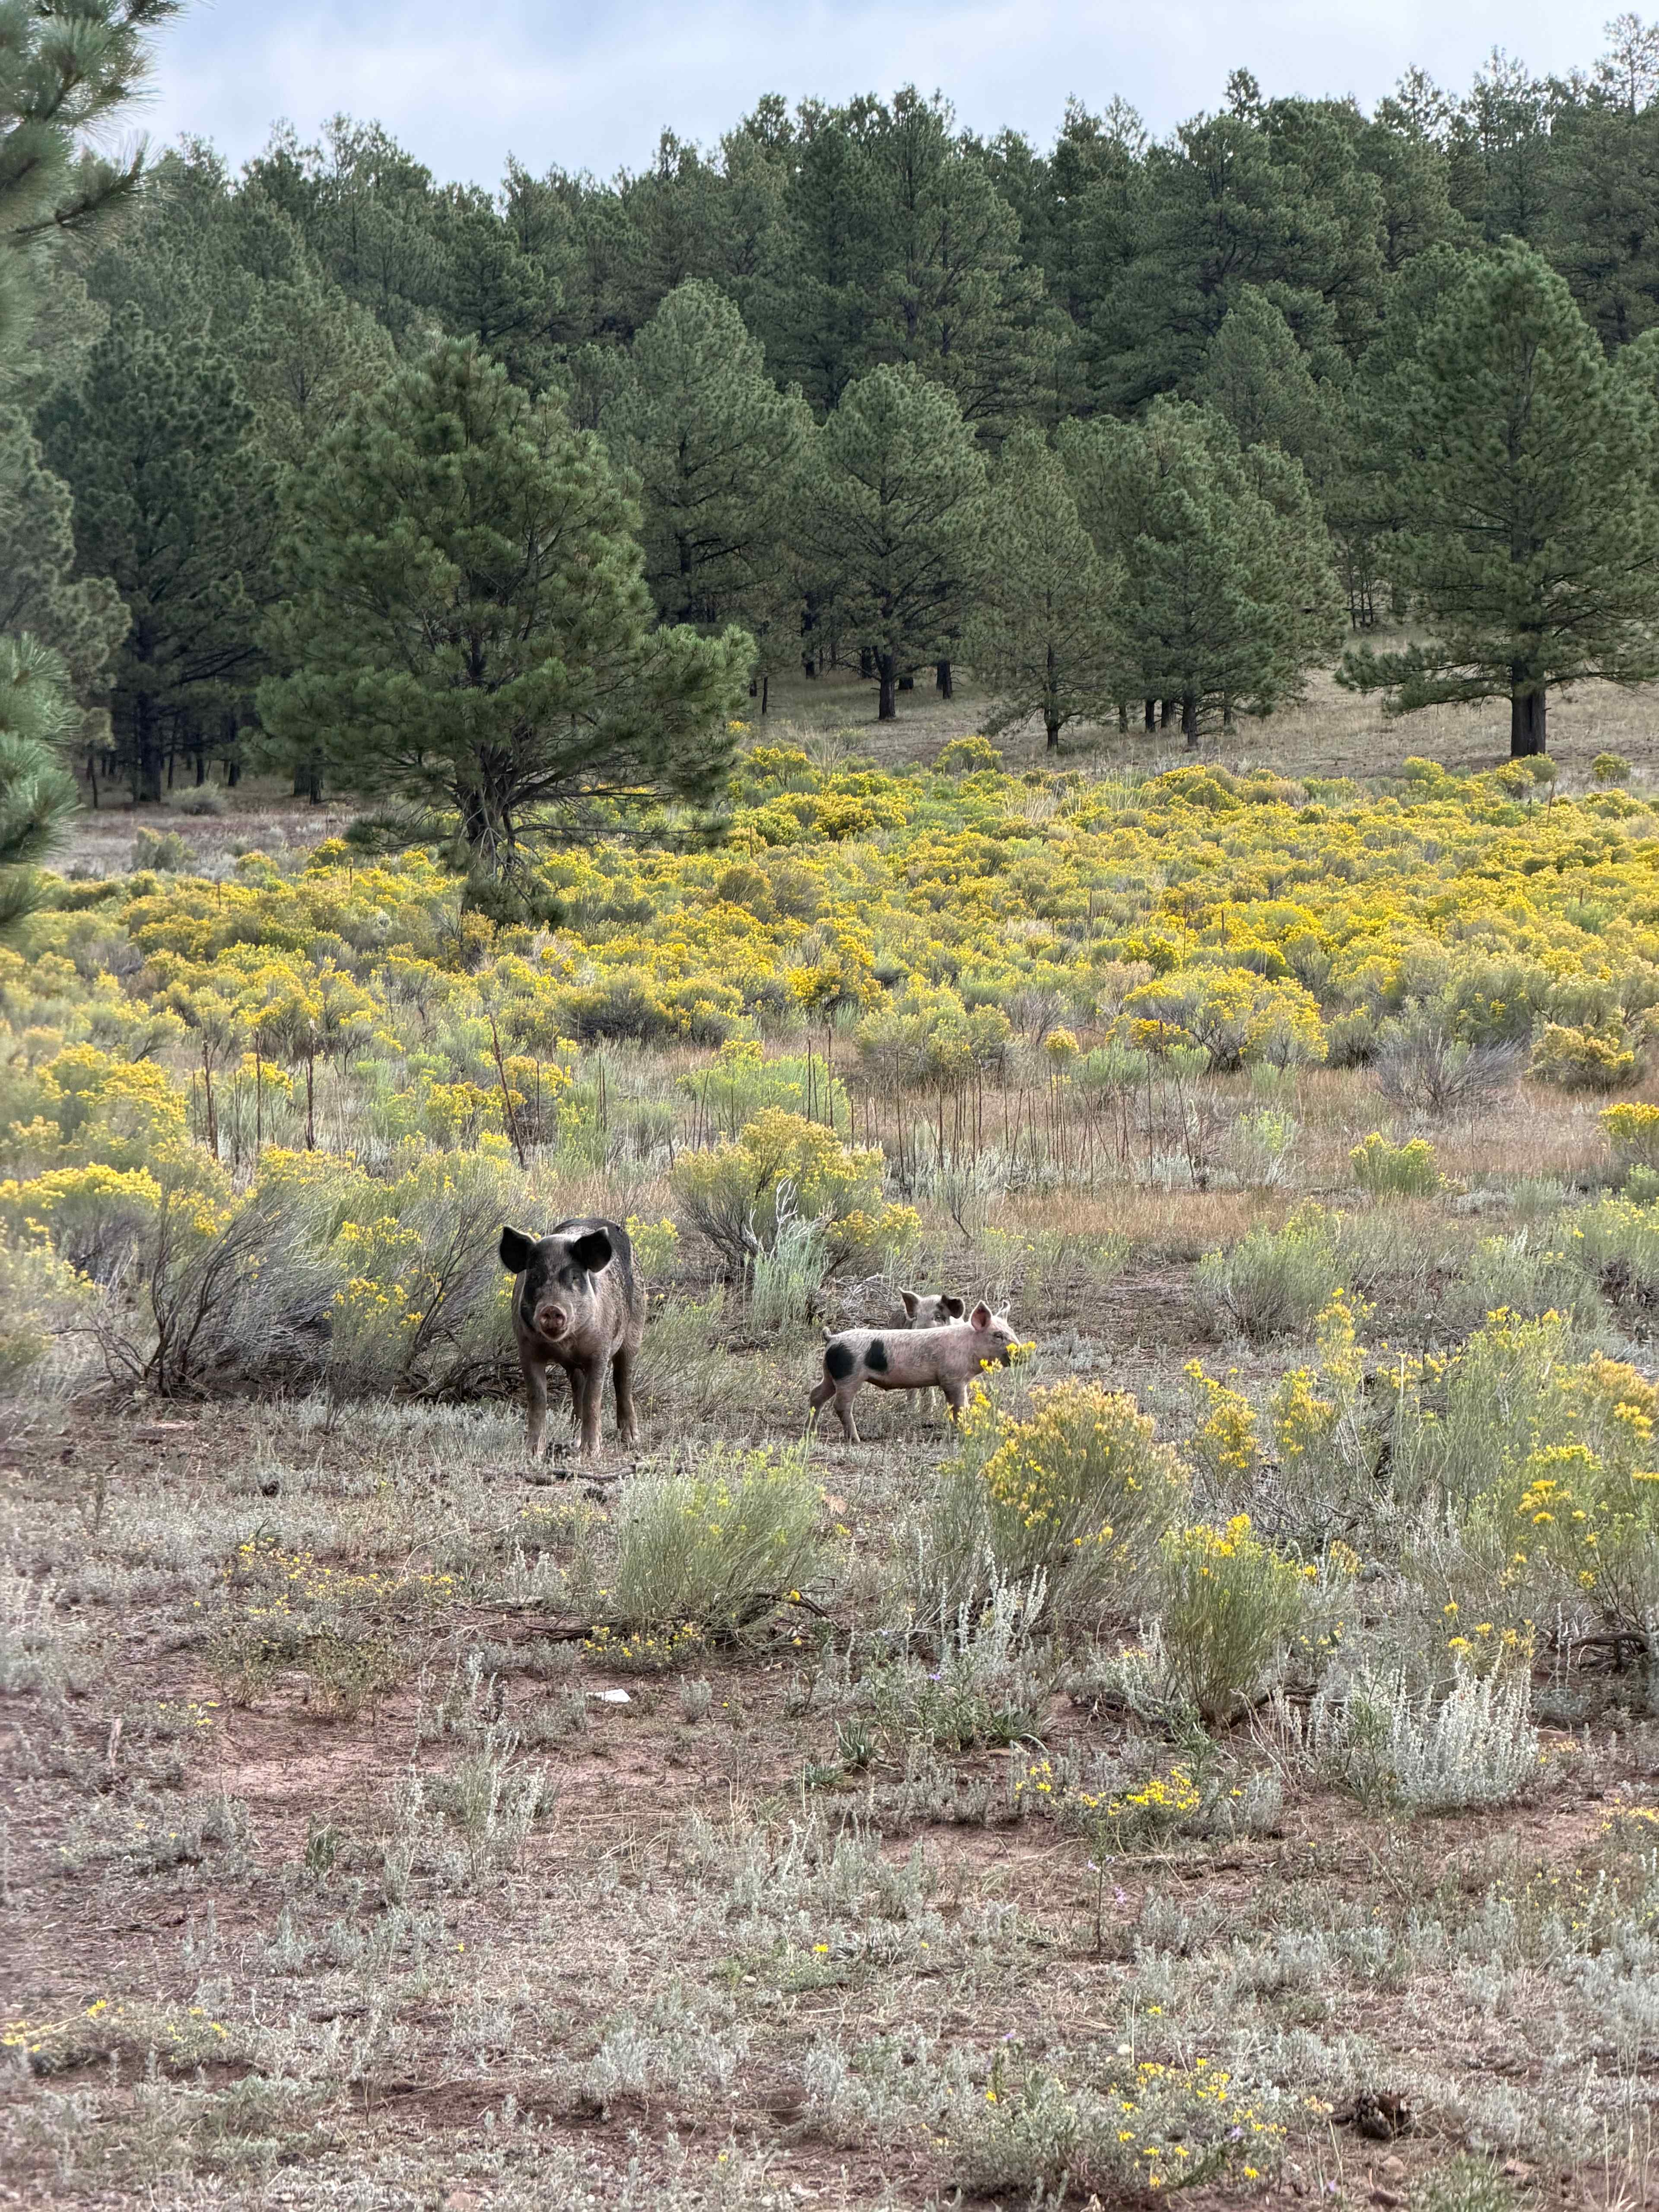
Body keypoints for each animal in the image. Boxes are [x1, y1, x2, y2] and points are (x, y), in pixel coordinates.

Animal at [498, 1218, 644, 1460]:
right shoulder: (527, 1349)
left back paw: (632, 1439)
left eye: (575, 1277)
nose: (552, 1308)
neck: (564, 1346)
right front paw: (532, 1452)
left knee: (623, 1380)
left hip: (635, 1328)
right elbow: (537, 1398)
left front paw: (591, 1453)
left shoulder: (600, 1351)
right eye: (535, 1277)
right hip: (575, 1366)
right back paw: (574, 1439)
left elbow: (593, 1399)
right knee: (578, 1387)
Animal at [808, 1302, 1020, 1443]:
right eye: (998, 1336)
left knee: (816, 1394)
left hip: (831, 1375)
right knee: (841, 1405)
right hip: (849, 1376)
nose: (1022, 1351)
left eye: (1011, 1331)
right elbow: (960, 1407)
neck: (969, 1346)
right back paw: (856, 1440)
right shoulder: (953, 1379)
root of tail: (833, 1339)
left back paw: (812, 1433)